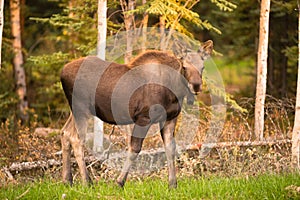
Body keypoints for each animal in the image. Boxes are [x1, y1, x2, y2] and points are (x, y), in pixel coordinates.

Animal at [59, 39, 212, 188]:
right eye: (184, 66)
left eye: (202, 67)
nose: (196, 85)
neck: (175, 92)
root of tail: (62, 72)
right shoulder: (143, 118)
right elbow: (135, 149)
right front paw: (119, 182)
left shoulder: (170, 118)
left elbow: (170, 148)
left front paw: (173, 184)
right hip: (81, 108)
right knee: (76, 138)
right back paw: (87, 182)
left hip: (75, 110)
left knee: (65, 132)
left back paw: (67, 180)